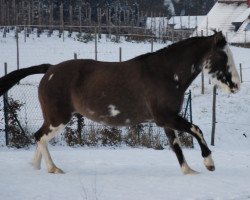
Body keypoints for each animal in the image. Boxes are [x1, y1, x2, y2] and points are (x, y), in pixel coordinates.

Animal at [0, 30, 240, 173]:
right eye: (224, 57)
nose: (236, 86)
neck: (166, 73)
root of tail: (49, 70)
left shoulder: (166, 121)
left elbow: (176, 147)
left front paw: (189, 171)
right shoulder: (166, 117)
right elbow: (196, 130)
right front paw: (209, 163)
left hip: (54, 118)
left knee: (39, 138)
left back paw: (36, 167)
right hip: (58, 118)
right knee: (39, 137)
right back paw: (53, 169)